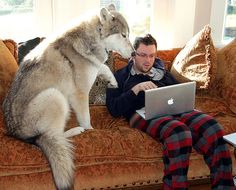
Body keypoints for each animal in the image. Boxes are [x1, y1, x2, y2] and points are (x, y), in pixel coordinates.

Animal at [1, 4, 134, 190]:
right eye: (123, 35)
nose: (134, 53)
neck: (95, 36)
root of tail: (22, 136)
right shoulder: (80, 93)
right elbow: (86, 119)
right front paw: (90, 130)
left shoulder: (93, 68)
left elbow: (103, 67)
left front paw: (112, 81)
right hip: (56, 96)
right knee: (57, 136)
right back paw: (76, 130)